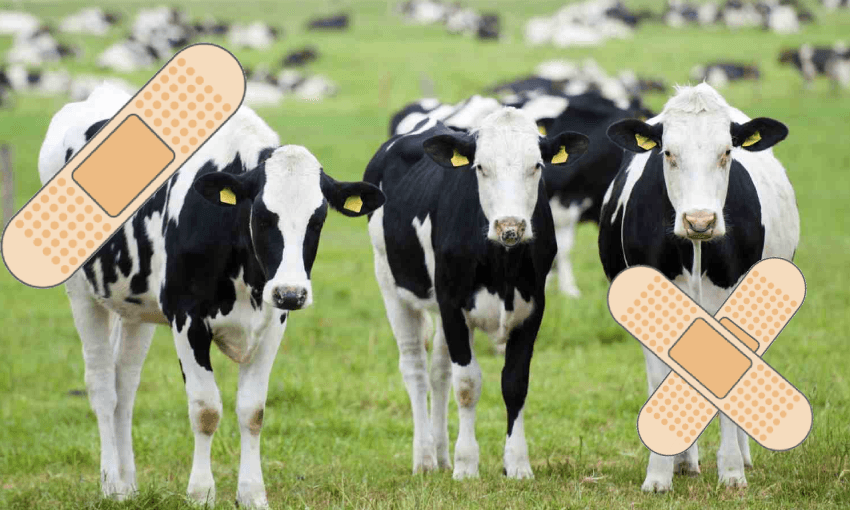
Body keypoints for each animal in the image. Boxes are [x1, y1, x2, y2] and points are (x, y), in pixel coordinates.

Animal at [36, 84, 385, 508]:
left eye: (317, 220)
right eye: (262, 217)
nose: (291, 292)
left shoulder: (273, 322)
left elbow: (253, 411)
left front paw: (252, 493)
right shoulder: (186, 318)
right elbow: (205, 409)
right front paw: (201, 492)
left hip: (136, 309)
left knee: (125, 386)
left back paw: (129, 482)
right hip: (81, 294)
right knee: (103, 387)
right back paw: (112, 485)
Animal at [363, 108, 589, 479]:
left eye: (536, 166)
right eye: (481, 167)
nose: (510, 226)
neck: (502, 268)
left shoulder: (532, 308)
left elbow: (515, 383)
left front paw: (517, 463)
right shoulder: (453, 304)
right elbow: (468, 384)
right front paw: (467, 465)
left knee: (439, 371)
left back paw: (441, 456)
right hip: (390, 283)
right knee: (415, 369)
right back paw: (425, 458)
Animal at [598, 82, 799, 492]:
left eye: (727, 153)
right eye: (668, 153)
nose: (700, 220)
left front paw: (733, 470)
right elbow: (663, 377)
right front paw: (659, 473)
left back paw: (743, 455)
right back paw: (684, 462)